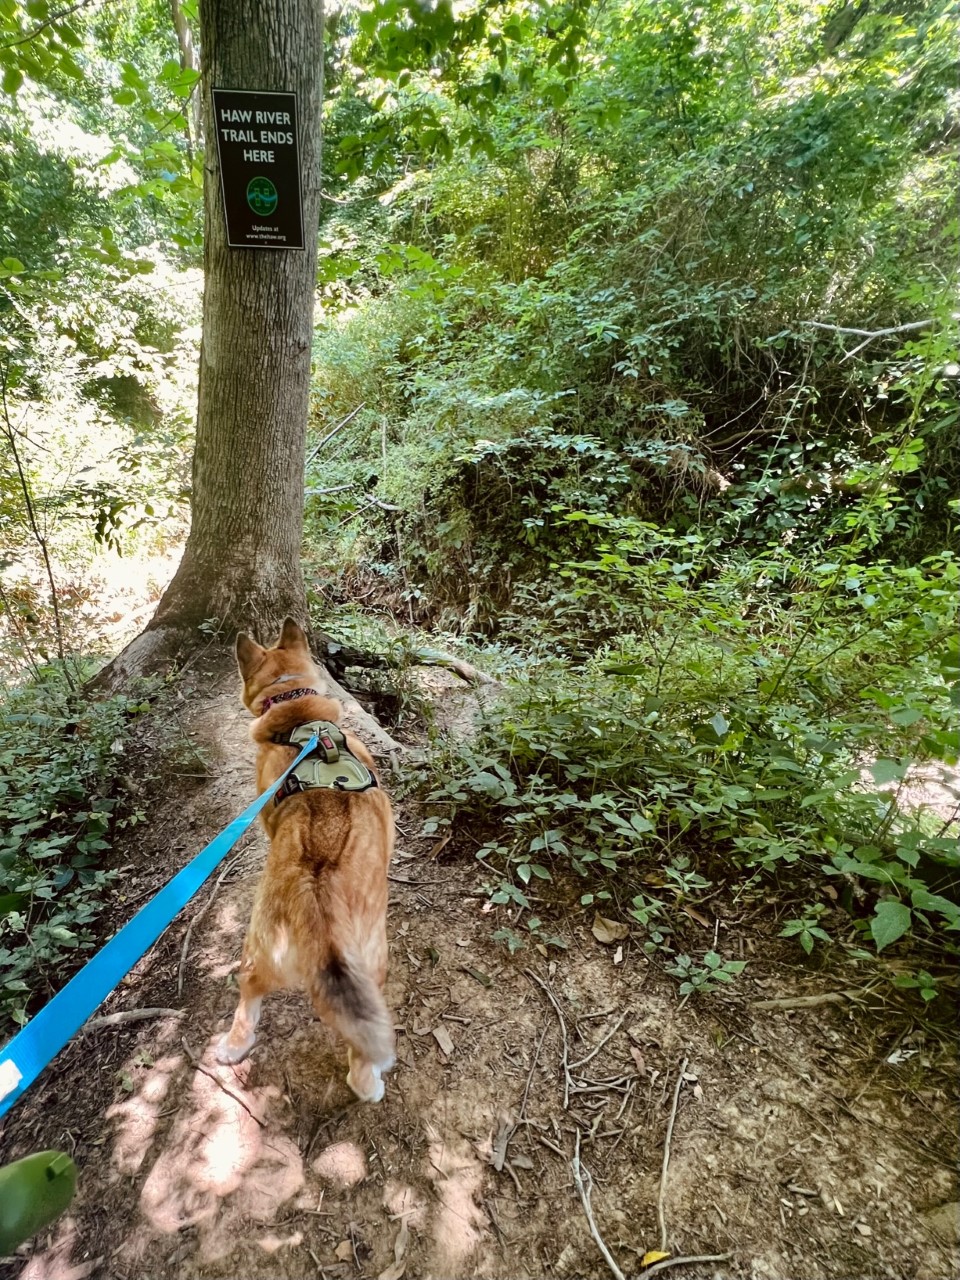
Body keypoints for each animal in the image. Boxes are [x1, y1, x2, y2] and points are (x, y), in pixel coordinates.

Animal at [216, 619, 396, 1100]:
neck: (295, 709)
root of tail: (314, 895)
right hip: (372, 968)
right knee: (360, 1059)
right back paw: (371, 1084)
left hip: (256, 955)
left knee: (247, 1003)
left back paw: (233, 1048)